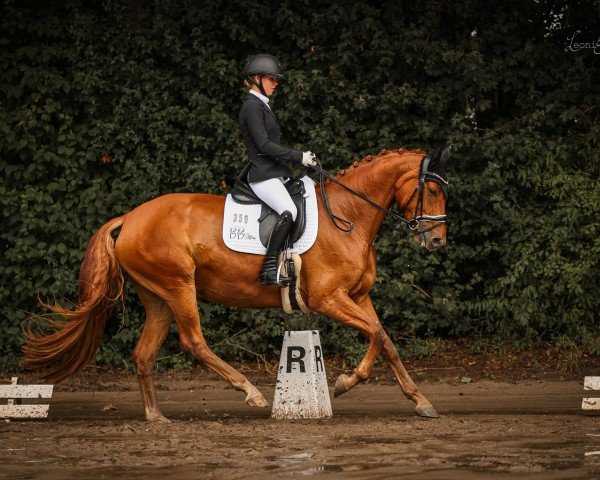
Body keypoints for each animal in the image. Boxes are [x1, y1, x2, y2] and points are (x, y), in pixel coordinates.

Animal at [24, 146, 450, 420]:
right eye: (432, 190)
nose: (437, 241)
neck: (348, 215)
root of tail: (129, 217)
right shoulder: (329, 298)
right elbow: (376, 335)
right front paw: (346, 382)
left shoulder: (358, 296)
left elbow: (386, 340)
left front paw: (420, 401)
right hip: (179, 286)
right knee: (193, 341)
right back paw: (251, 392)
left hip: (157, 296)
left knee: (144, 353)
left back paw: (156, 416)